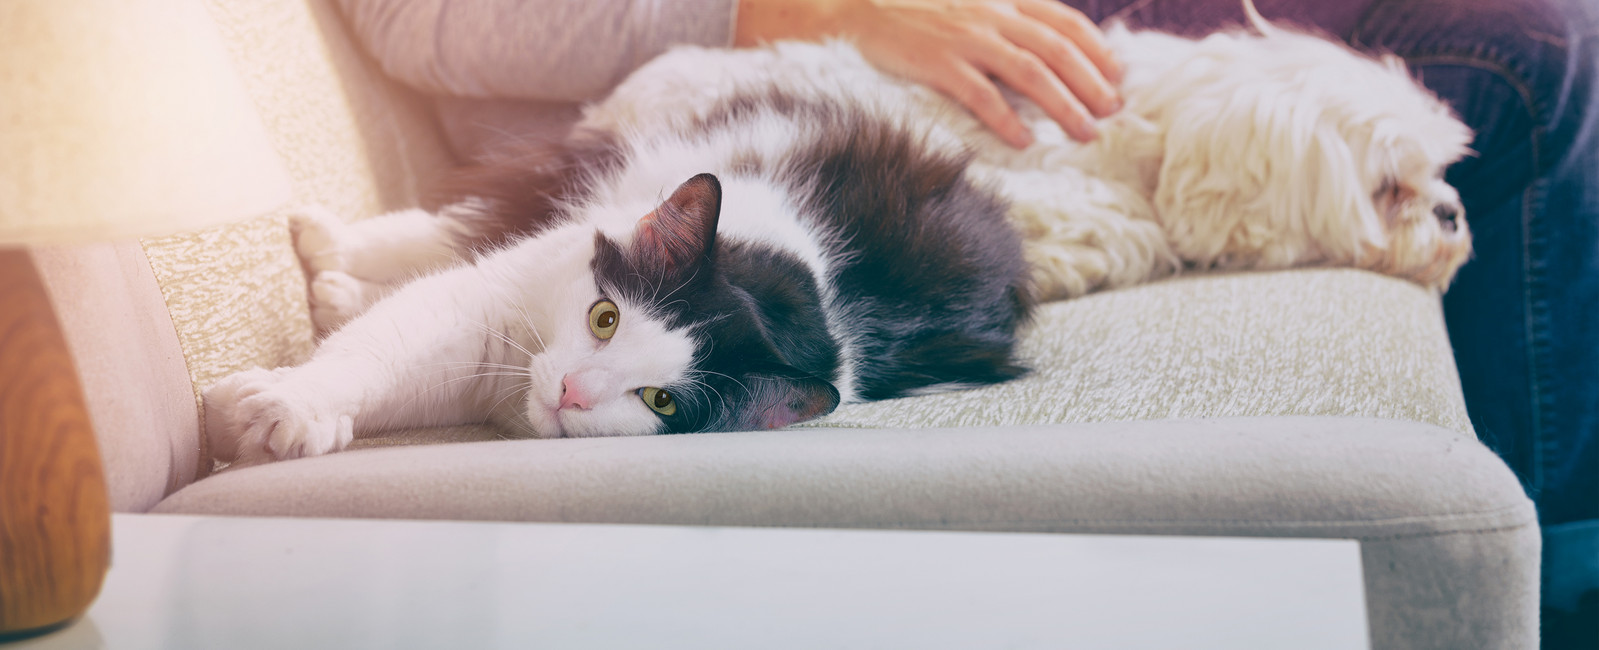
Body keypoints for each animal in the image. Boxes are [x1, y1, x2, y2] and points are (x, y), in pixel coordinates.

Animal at [206, 53, 1036, 466]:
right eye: (604, 318)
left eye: (660, 402)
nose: (574, 391)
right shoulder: (489, 298)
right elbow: (379, 346)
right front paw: (291, 403)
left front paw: (285, 404)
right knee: (453, 226)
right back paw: (327, 249)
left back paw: (336, 286)